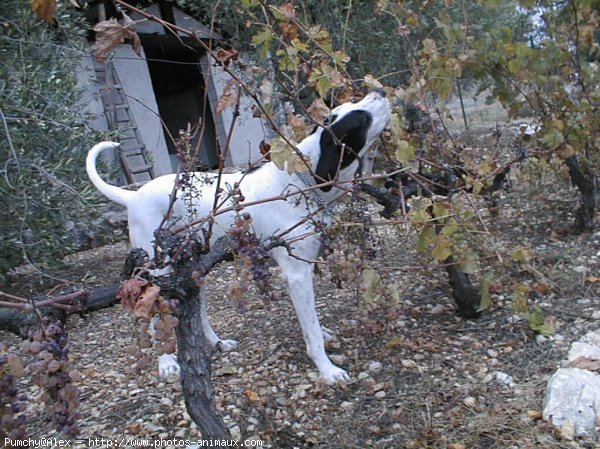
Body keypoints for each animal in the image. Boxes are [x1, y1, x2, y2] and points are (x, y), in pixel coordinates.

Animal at [86, 89, 392, 384]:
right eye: (361, 119)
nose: (380, 91)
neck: (300, 180)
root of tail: (133, 196)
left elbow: (313, 322)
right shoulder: (297, 275)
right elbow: (312, 333)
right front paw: (327, 370)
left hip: (192, 271)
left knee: (197, 312)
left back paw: (217, 343)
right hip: (161, 272)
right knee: (155, 313)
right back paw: (167, 363)